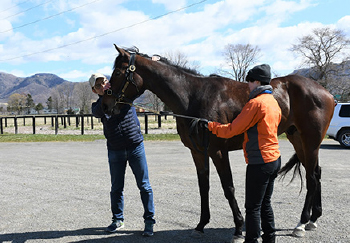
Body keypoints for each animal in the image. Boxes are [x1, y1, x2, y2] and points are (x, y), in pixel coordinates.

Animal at [100, 44, 334, 240]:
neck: (193, 96)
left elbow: (228, 187)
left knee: (312, 178)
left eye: (118, 72)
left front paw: (239, 227)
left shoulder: (219, 152)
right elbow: (204, 187)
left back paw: (301, 223)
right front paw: (201, 224)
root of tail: (325, 92)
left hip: (310, 142)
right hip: (298, 139)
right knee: (317, 173)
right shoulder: (198, 152)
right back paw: (313, 219)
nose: (105, 105)